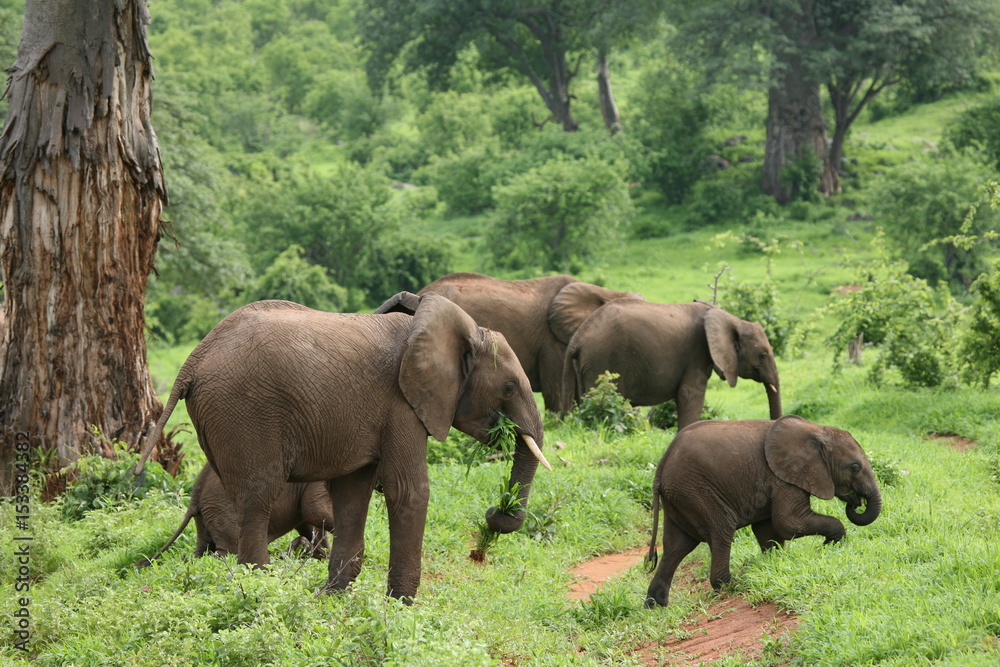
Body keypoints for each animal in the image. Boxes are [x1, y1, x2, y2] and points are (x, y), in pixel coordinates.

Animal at [135, 464, 335, 568]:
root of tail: (195, 495)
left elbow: (309, 522)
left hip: (207, 515)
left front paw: (320, 554)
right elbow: (315, 512)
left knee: (201, 551)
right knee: (227, 552)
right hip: (223, 511)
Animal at [561, 299, 781, 430]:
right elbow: (689, 395)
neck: (732, 319)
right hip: (602, 361)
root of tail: (577, 337)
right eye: (763, 356)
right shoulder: (697, 353)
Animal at [644, 416, 882, 608]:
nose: (856, 501)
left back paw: (655, 606)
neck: (815, 430)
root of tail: (661, 467)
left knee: (676, 546)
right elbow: (789, 523)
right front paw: (830, 545)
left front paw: (776, 563)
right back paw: (733, 584)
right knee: (721, 532)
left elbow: (767, 529)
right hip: (697, 491)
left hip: (680, 497)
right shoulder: (783, 477)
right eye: (855, 468)